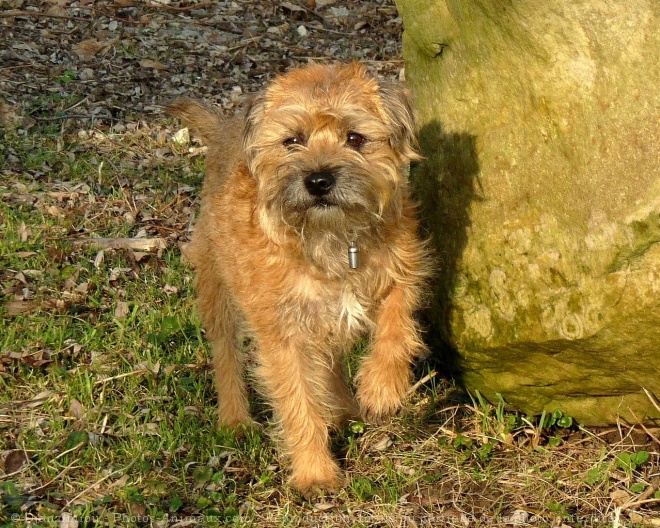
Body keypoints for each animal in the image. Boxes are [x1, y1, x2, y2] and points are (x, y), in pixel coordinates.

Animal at [168, 62, 430, 496]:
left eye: (355, 138)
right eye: (293, 140)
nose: (319, 180)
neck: (333, 239)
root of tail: (225, 129)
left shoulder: (402, 269)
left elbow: (397, 325)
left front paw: (381, 387)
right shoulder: (284, 334)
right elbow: (298, 402)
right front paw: (315, 472)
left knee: (331, 362)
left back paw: (345, 408)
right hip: (216, 285)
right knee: (225, 353)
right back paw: (235, 418)